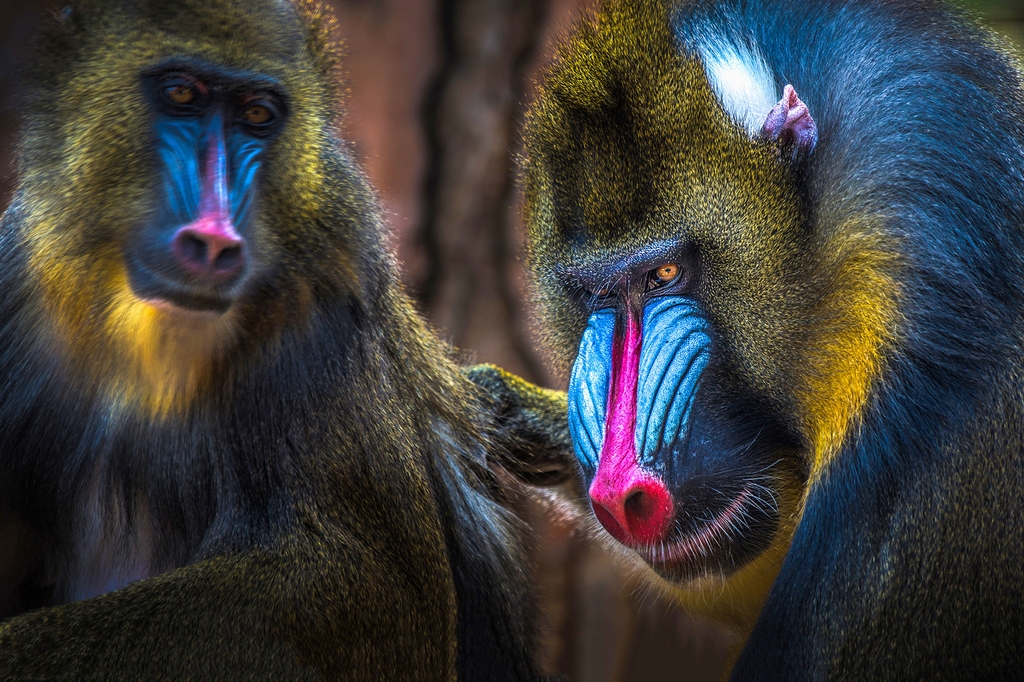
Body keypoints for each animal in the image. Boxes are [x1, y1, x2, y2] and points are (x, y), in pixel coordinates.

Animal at [0, 1, 559, 679]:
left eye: (258, 117)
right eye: (181, 95)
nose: (214, 240)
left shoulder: (319, 314)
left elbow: (377, 586)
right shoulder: (17, 277)